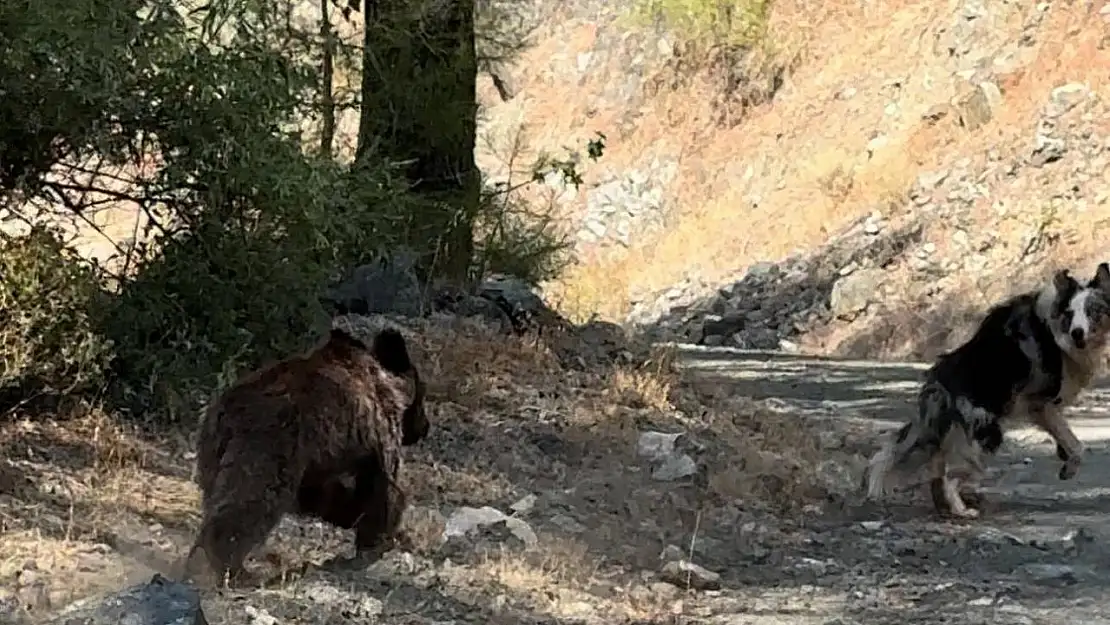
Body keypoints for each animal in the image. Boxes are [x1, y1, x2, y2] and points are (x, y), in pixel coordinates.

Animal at [865, 263, 1110, 519]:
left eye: (1093, 311)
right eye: (1070, 314)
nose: (1077, 333)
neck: (1053, 329)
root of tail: (938, 382)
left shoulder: (1047, 408)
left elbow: (1068, 441)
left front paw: (1064, 458)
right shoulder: (1039, 404)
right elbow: (1077, 445)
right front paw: (1069, 467)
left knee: (923, 465)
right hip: (986, 435)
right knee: (949, 475)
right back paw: (961, 511)